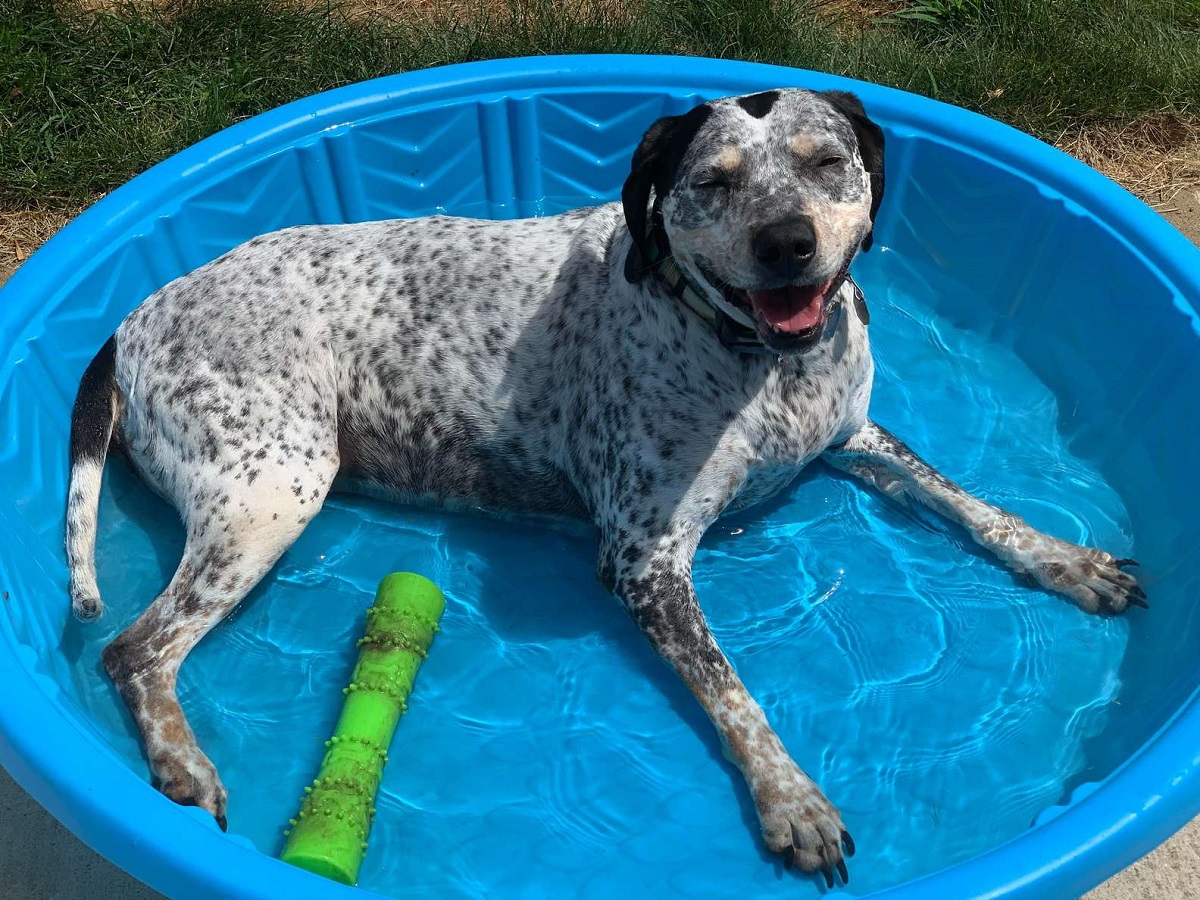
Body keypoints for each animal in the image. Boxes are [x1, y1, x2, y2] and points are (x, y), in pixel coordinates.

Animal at [68, 90, 1142, 888]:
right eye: (713, 181)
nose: (788, 242)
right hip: (274, 488)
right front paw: (792, 800)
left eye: (827, 162)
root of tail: (132, 317)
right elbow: (734, 694)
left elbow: (974, 505)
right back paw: (180, 764)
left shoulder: (854, 440)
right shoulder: (646, 560)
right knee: (133, 649)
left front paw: (1068, 560)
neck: (758, 363)